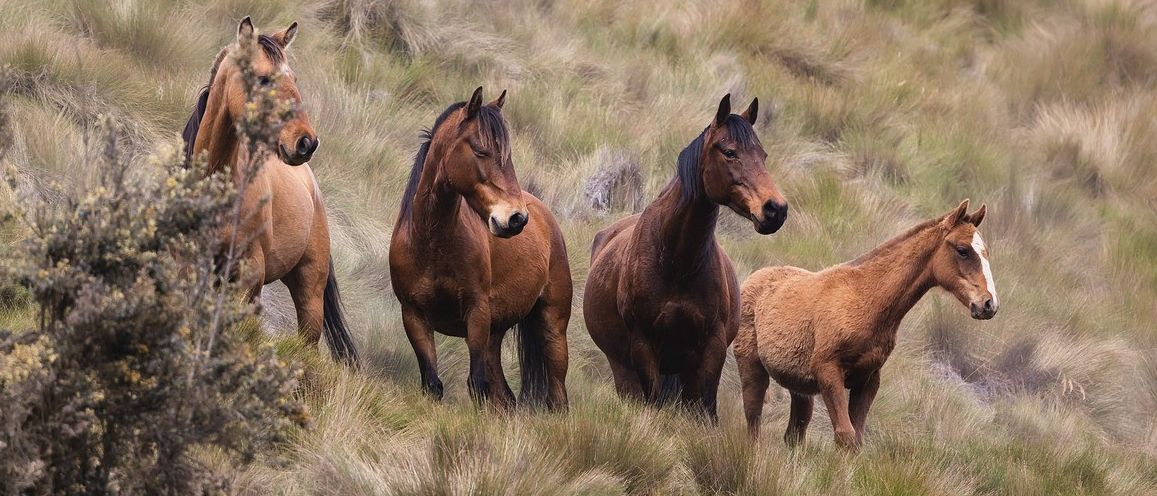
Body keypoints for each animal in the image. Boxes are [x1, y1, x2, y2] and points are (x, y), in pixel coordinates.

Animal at [389, 87, 572, 411]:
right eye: (480, 151)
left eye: (507, 156)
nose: (516, 218)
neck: (431, 244)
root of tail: (544, 215)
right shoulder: (414, 317)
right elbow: (433, 385)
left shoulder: (476, 313)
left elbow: (476, 384)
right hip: (494, 336)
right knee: (505, 397)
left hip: (552, 327)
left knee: (557, 395)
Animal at [584, 94, 789, 421]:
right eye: (729, 152)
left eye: (763, 154)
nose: (775, 210)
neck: (676, 262)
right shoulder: (644, 345)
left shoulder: (712, 347)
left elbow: (704, 408)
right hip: (624, 369)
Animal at [734, 200, 998, 451]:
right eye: (962, 250)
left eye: (986, 252)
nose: (989, 304)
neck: (866, 299)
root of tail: (752, 279)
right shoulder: (828, 371)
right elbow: (846, 436)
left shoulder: (868, 380)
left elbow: (856, 438)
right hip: (752, 369)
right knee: (753, 421)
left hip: (800, 387)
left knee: (794, 434)